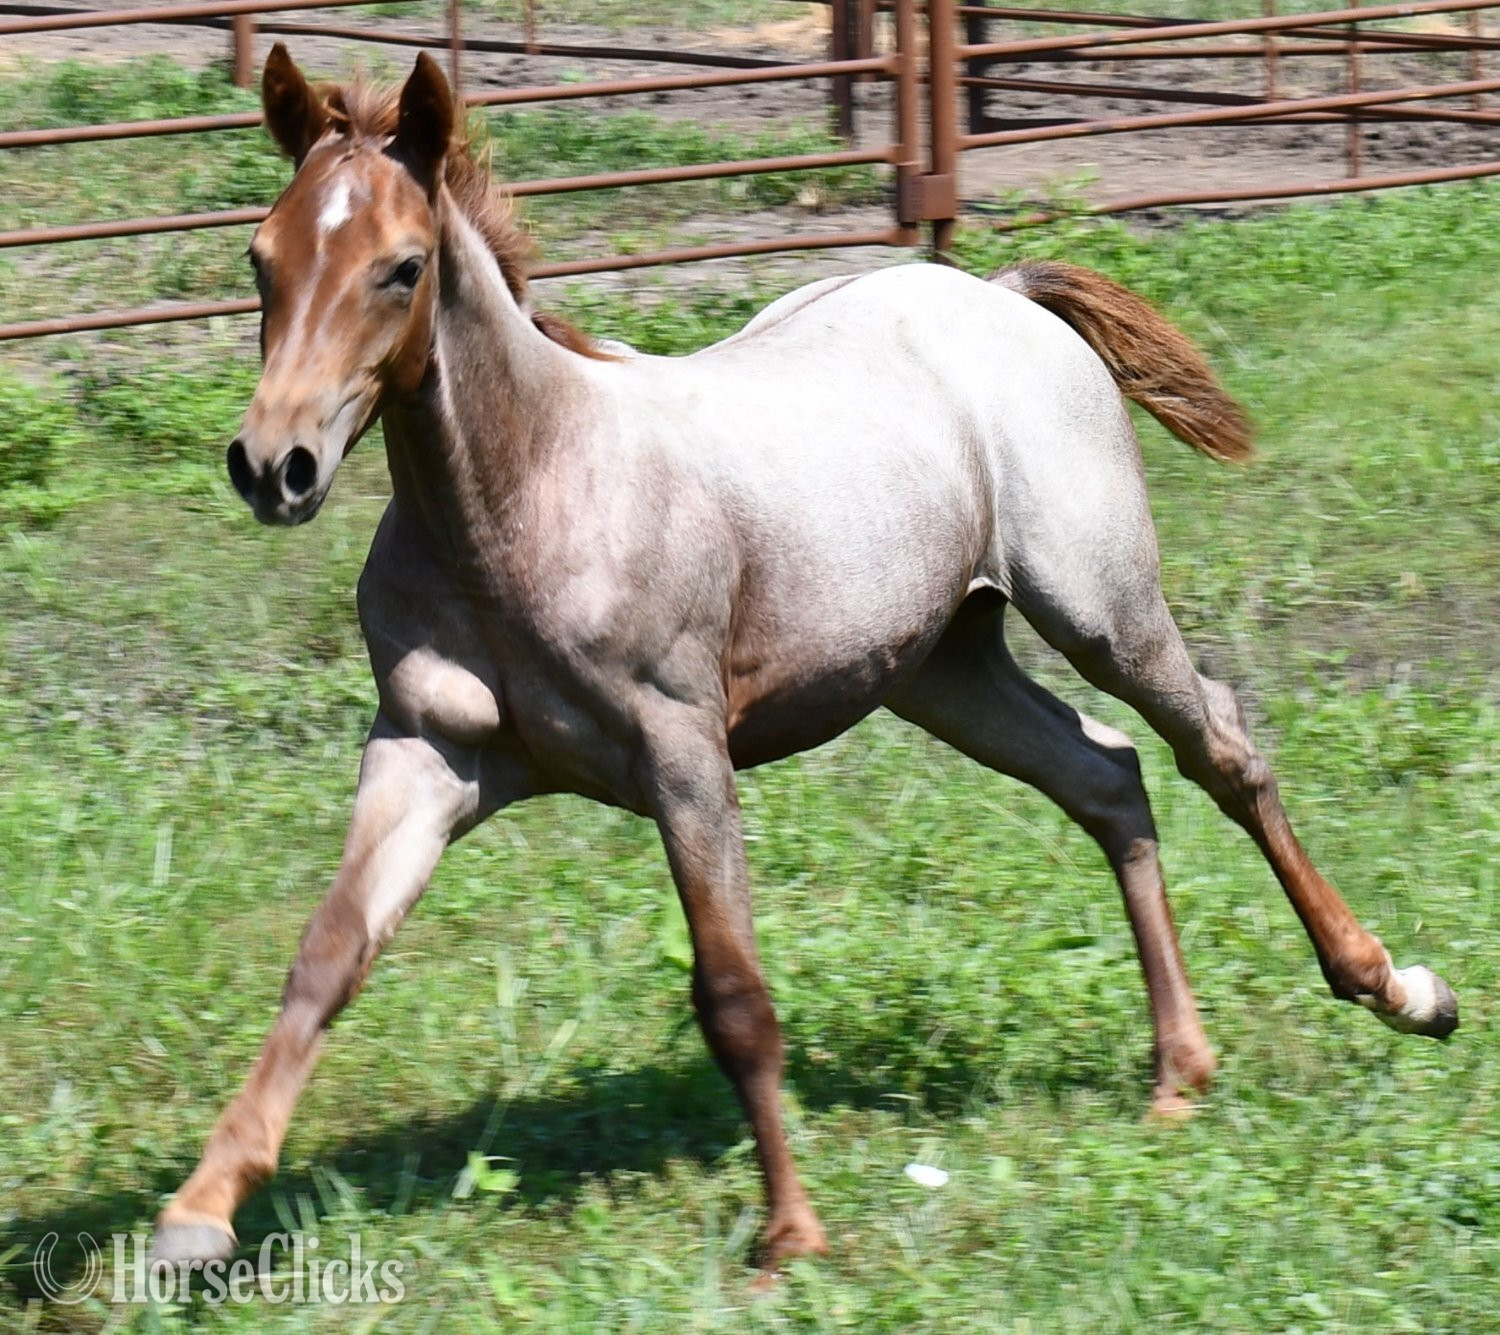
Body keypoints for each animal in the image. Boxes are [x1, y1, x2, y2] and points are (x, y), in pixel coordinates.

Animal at [150, 45, 1457, 1275]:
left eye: (402, 267)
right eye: (261, 260)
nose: (274, 465)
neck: (526, 498)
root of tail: (1000, 294)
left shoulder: (683, 755)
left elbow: (733, 996)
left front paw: (791, 1236)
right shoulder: (426, 751)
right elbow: (326, 957)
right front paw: (198, 1214)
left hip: (1101, 607)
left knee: (1219, 748)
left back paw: (1397, 989)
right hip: (942, 669)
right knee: (1106, 774)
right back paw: (1179, 1070)